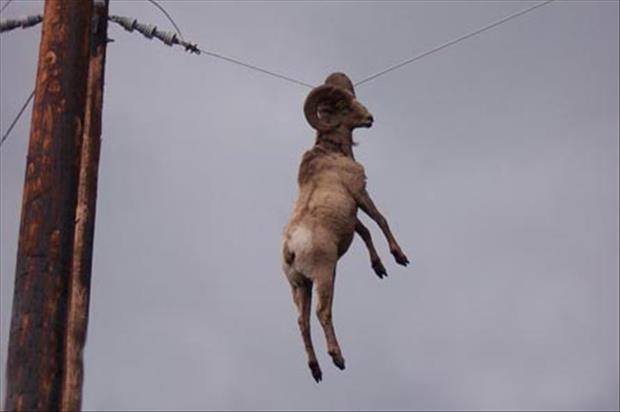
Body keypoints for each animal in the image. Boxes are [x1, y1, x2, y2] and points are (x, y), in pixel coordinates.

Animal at [282, 71, 410, 384]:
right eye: (342, 106)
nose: (369, 118)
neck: (333, 154)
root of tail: (291, 251)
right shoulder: (360, 193)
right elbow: (380, 220)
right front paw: (400, 257)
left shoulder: (351, 215)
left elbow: (364, 231)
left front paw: (380, 268)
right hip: (324, 275)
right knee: (322, 313)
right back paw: (338, 358)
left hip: (299, 286)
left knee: (302, 322)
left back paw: (316, 371)